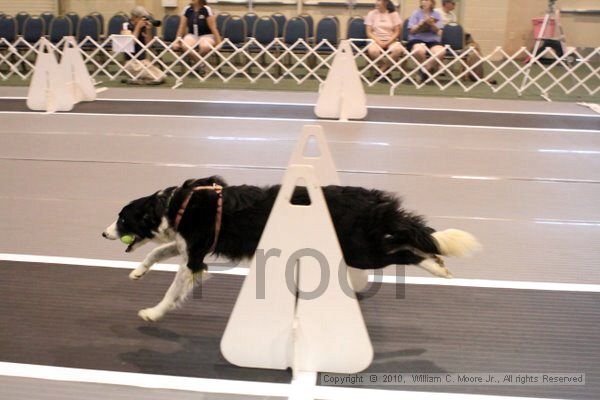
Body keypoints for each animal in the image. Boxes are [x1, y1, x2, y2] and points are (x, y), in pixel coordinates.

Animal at [102, 177, 478, 320]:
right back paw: (439, 259)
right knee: (408, 242)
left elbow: (172, 290)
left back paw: (437, 267)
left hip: (358, 249)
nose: (103, 233)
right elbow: (156, 252)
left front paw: (153, 312)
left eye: (122, 218)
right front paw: (138, 272)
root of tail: (372, 201)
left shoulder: (195, 257)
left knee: (406, 251)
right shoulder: (190, 247)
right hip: (361, 245)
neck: (174, 206)